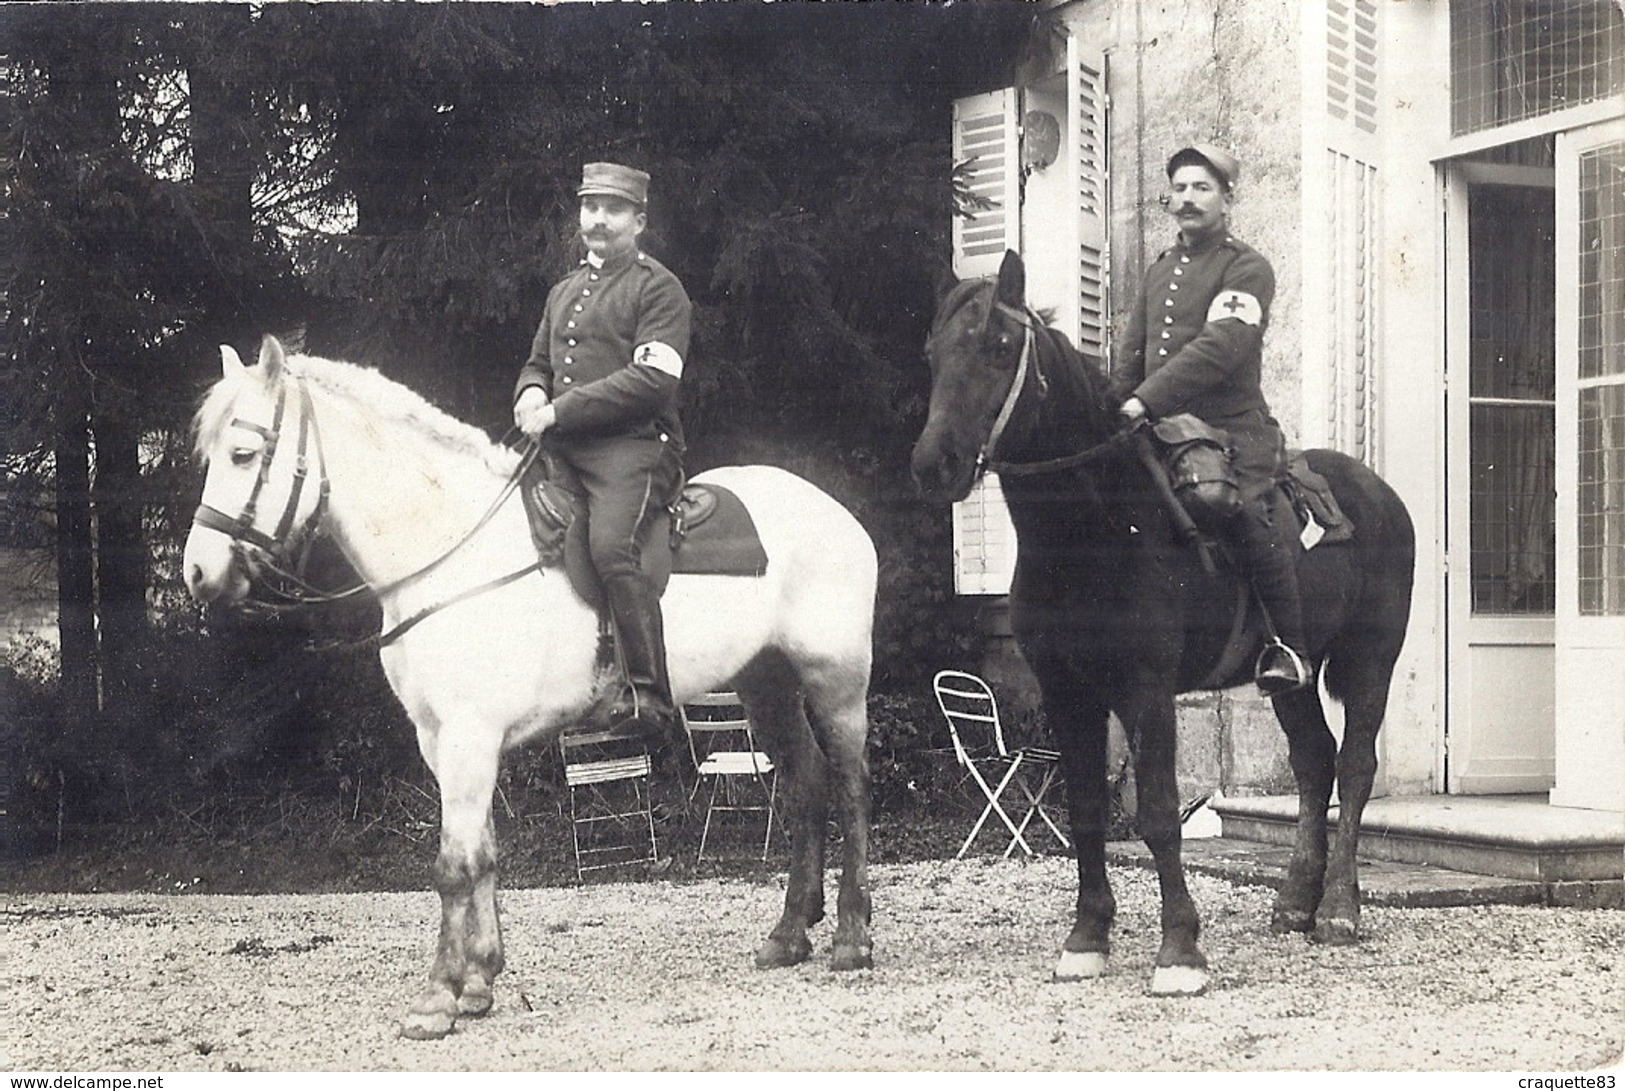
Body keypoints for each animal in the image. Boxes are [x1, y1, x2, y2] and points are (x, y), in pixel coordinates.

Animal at [184, 339, 884, 1040]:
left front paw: (437, 999)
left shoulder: (469, 737)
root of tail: (837, 513)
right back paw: (789, 935)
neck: (450, 554)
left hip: (835, 680)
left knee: (850, 787)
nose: (197, 573)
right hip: (766, 685)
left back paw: (852, 937)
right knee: (806, 786)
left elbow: (453, 865)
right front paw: (479, 981)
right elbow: (485, 853)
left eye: (243, 453)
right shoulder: (443, 742)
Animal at [916, 250, 1410, 1001]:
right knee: (1311, 762)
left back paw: (1338, 909)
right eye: (932, 352)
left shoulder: (1145, 689)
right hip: (1289, 679)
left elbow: (1156, 812)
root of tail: (1378, 492)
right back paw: (1295, 899)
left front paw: (1179, 949)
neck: (1092, 530)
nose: (933, 463)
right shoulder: (1069, 692)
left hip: (1370, 661)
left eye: (998, 346)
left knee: (1353, 766)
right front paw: (1087, 937)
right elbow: (1086, 808)